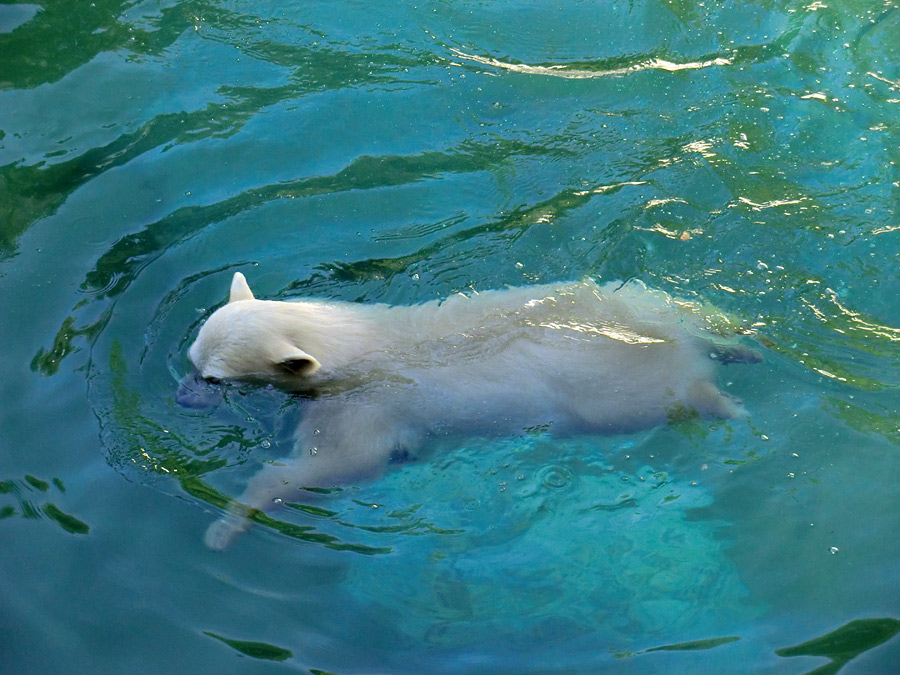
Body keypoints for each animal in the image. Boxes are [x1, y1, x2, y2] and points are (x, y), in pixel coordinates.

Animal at [179, 270, 756, 548]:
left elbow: (334, 464)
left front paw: (223, 526)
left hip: (622, 390)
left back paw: (730, 406)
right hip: (637, 301)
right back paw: (745, 342)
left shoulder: (363, 404)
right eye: (190, 359)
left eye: (213, 377)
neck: (351, 342)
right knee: (696, 310)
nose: (182, 397)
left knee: (678, 396)